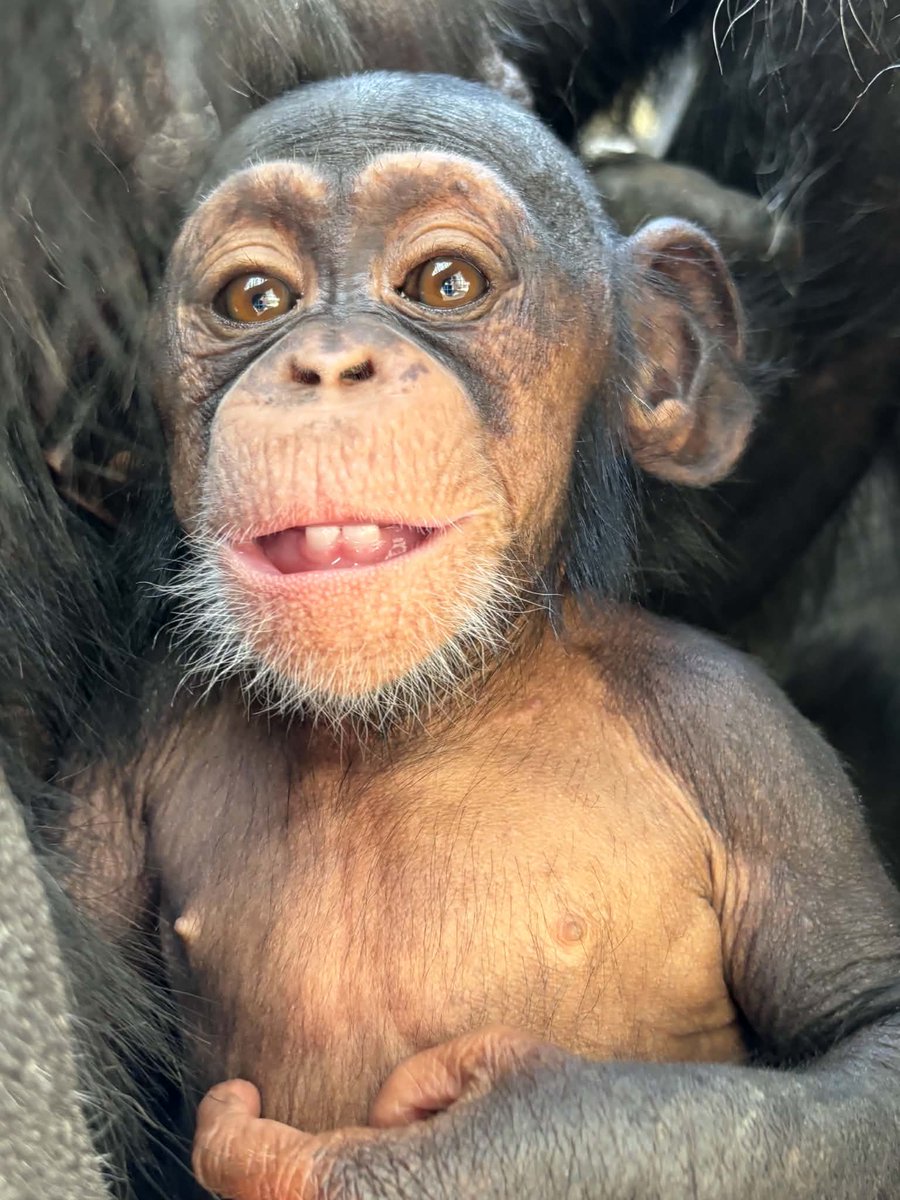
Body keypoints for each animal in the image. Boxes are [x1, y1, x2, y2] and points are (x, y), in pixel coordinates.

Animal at [62, 72, 900, 1200]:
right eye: (256, 301)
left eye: (446, 282)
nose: (329, 364)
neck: (416, 710)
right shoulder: (116, 750)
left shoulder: (745, 743)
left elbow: (864, 1028)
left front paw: (478, 1150)